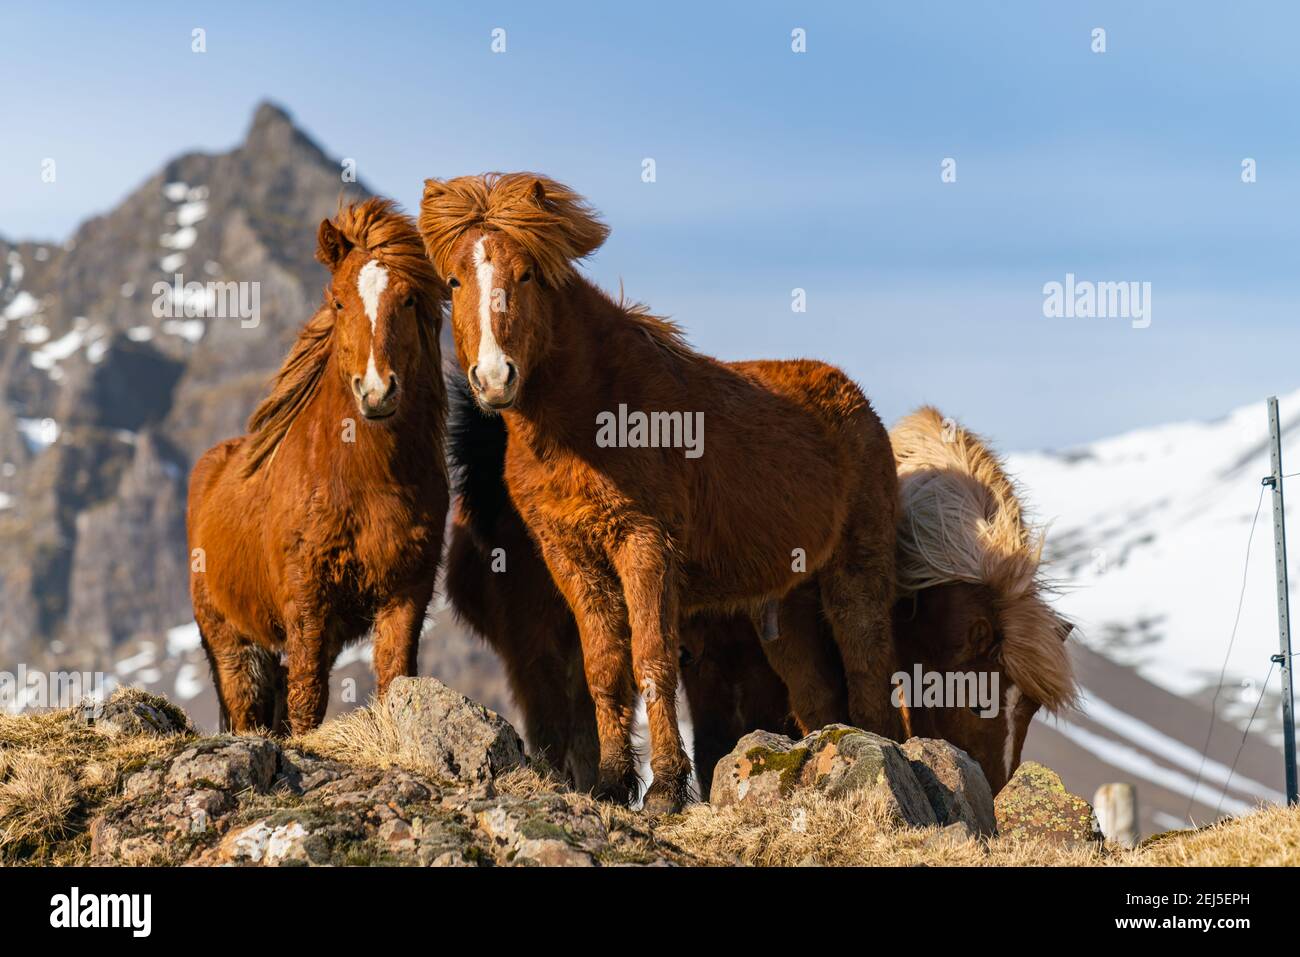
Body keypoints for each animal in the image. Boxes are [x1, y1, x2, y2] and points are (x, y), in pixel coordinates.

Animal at [185, 197, 452, 738]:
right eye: (340, 302)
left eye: (409, 300)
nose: (377, 391)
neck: (366, 480)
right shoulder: (307, 600)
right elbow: (308, 700)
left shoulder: (407, 593)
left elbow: (394, 678)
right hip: (232, 640)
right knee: (248, 706)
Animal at [421, 174, 899, 816]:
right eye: (454, 281)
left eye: (526, 275)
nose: (496, 378)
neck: (589, 416)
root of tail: (860, 404)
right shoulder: (570, 557)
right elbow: (604, 668)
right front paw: (613, 781)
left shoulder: (644, 543)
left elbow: (652, 658)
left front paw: (668, 788)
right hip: (791, 602)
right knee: (817, 692)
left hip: (856, 574)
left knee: (869, 663)